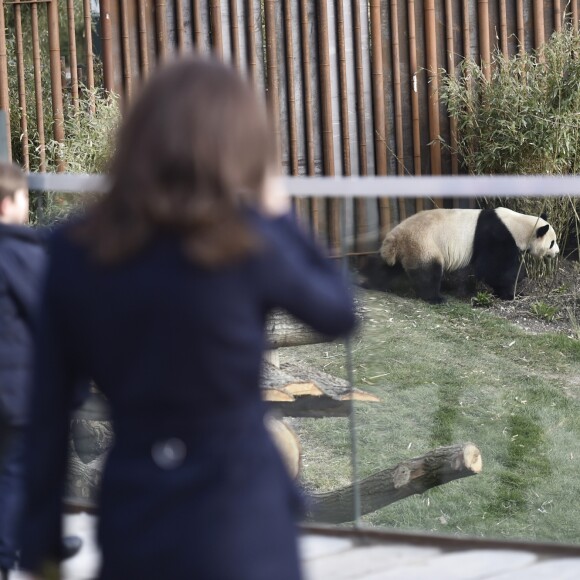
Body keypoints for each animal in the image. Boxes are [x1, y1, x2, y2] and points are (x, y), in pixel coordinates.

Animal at [374, 207, 560, 304]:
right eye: (552, 242)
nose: (557, 252)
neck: (518, 225)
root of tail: (395, 239)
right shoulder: (497, 236)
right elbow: (494, 269)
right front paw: (513, 291)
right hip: (423, 245)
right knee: (428, 272)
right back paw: (435, 297)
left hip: (405, 251)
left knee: (388, 268)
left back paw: (373, 283)